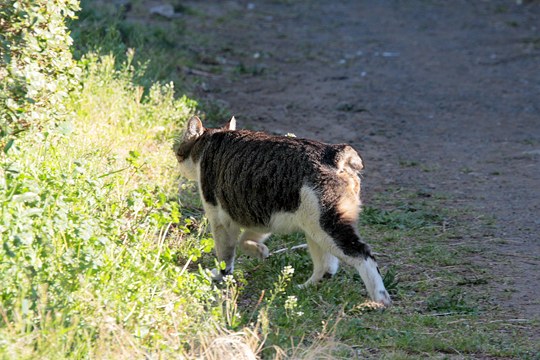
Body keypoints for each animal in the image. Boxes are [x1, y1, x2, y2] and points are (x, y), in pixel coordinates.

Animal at [175, 116, 390, 306]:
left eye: (178, 153)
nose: (178, 163)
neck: (208, 144)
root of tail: (334, 153)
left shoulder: (221, 219)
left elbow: (225, 256)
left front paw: (221, 276)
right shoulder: (261, 216)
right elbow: (247, 240)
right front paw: (261, 251)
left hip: (328, 226)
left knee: (363, 255)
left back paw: (380, 300)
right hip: (315, 230)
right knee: (327, 267)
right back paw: (303, 288)